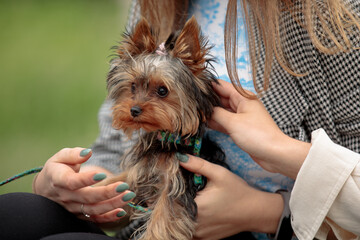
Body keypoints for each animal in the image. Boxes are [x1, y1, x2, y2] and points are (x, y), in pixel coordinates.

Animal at [105, 16, 225, 240]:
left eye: (162, 91)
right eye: (133, 86)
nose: (133, 110)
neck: (167, 139)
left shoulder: (177, 182)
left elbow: (163, 217)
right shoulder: (139, 173)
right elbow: (119, 181)